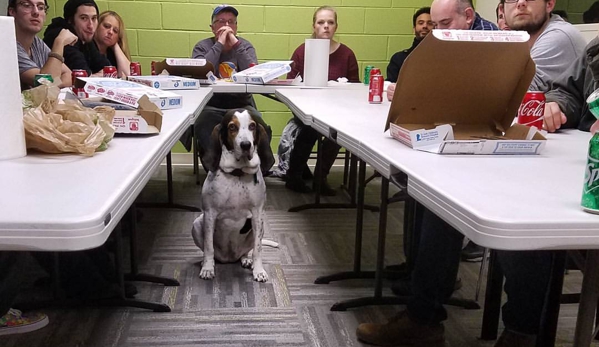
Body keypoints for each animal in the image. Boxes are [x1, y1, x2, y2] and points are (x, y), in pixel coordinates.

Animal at [192, 109, 276, 282]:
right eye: (232, 127)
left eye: (252, 126)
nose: (246, 145)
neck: (237, 173)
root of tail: (228, 258)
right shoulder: (210, 214)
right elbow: (208, 247)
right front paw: (207, 269)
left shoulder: (257, 215)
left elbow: (258, 249)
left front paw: (259, 271)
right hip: (197, 224)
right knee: (209, 252)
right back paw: (208, 262)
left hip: (258, 227)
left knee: (246, 252)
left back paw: (246, 260)